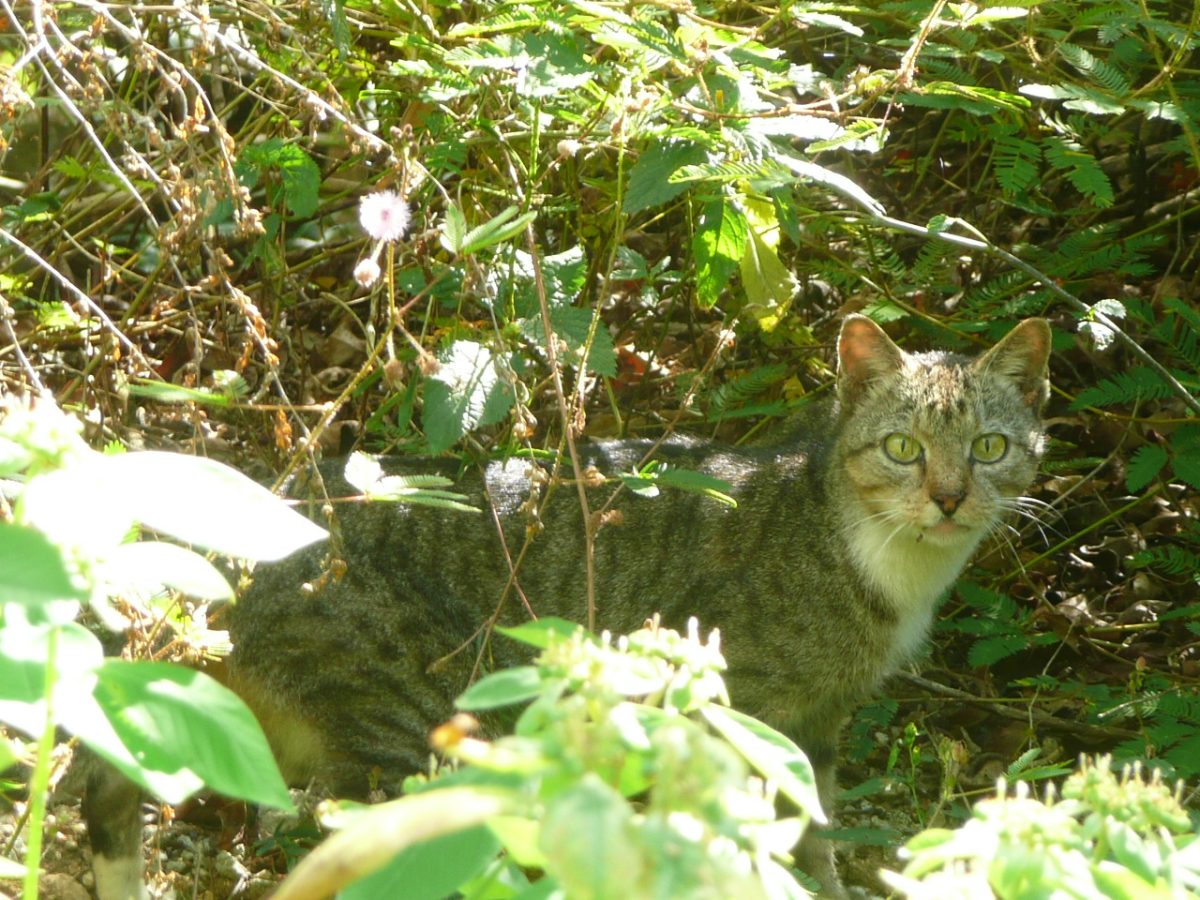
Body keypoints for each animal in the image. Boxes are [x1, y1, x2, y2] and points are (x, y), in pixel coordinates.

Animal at [87, 312, 1051, 900]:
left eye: (990, 447)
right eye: (902, 448)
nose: (950, 497)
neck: (889, 564)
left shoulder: (816, 725)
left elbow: (812, 825)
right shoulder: (742, 706)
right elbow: (751, 827)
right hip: (418, 721)